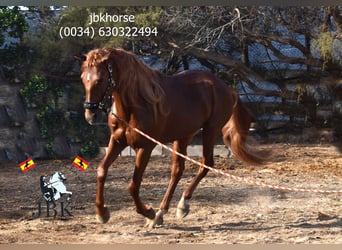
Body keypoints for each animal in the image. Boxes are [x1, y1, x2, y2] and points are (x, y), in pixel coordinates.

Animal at [75, 47, 268, 229]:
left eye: (100, 79)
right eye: (83, 78)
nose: (90, 115)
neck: (137, 104)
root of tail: (227, 89)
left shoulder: (145, 147)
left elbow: (133, 185)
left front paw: (148, 212)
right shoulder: (117, 142)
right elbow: (101, 171)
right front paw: (102, 213)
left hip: (210, 130)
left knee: (206, 163)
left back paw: (181, 206)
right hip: (183, 136)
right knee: (177, 170)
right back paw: (163, 212)